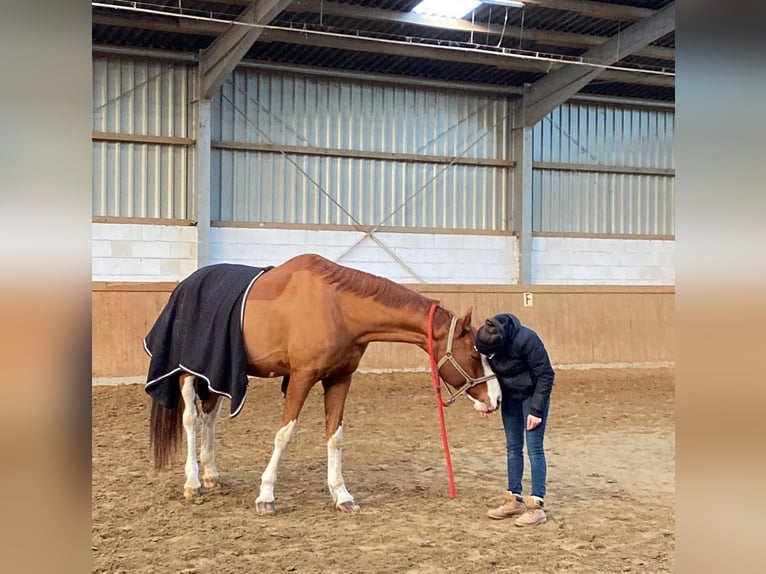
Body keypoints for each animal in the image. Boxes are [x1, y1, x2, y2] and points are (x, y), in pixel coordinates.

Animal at [147, 253, 501, 514]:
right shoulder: (302, 377)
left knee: (209, 418)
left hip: (216, 375)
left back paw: (210, 474)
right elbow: (284, 434)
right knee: (191, 420)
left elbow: (335, 437)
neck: (337, 307)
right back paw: (192, 483)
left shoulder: (339, 379)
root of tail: (186, 284)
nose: (495, 399)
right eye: (474, 353)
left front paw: (342, 495)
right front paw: (266, 496)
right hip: (188, 372)